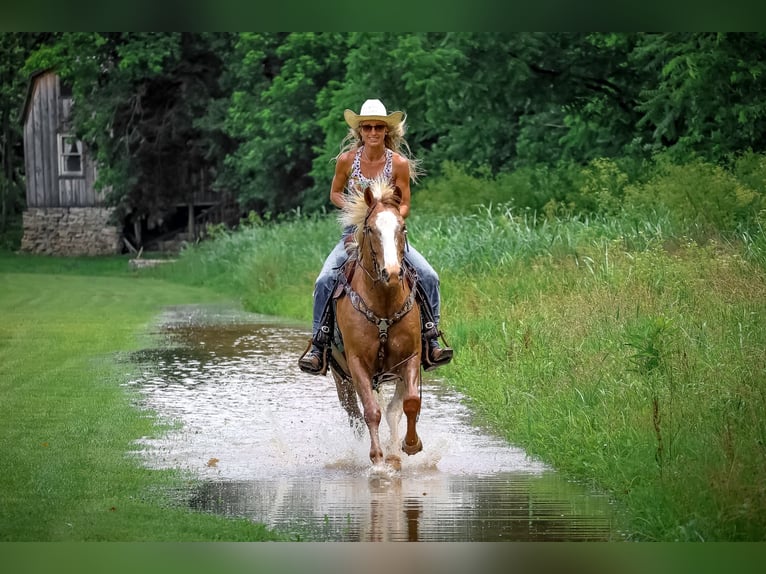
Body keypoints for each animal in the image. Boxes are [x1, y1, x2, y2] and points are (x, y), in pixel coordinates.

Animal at [328, 178, 423, 468]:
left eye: (402, 228)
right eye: (370, 229)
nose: (391, 273)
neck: (384, 303)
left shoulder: (411, 357)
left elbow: (409, 404)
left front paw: (410, 446)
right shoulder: (357, 363)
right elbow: (371, 412)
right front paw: (377, 460)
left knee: (393, 411)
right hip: (342, 378)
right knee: (356, 416)